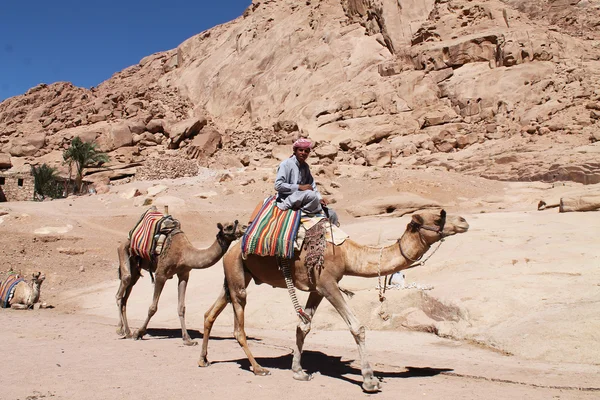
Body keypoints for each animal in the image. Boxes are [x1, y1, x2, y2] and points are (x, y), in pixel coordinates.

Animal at [116, 220, 245, 346]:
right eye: (229, 226)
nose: (244, 227)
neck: (184, 254)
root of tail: (126, 240)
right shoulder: (160, 274)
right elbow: (153, 307)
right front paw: (139, 333)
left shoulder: (184, 274)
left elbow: (181, 307)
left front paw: (188, 339)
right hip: (123, 252)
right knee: (122, 287)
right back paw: (120, 330)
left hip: (135, 268)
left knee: (126, 296)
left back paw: (128, 332)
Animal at [199, 211, 472, 392]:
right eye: (438, 218)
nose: (464, 221)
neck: (348, 254)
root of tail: (234, 248)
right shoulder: (327, 283)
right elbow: (357, 326)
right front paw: (369, 380)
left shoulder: (317, 289)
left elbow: (303, 326)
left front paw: (299, 372)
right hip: (237, 277)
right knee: (238, 327)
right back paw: (258, 368)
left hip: (233, 277)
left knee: (210, 313)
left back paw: (203, 359)